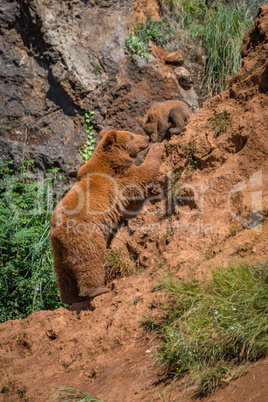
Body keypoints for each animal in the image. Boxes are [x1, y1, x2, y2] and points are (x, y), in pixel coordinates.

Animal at [50, 130, 163, 306]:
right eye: (131, 136)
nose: (147, 138)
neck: (112, 159)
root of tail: (57, 233)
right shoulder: (119, 177)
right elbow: (142, 174)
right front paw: (157, 149)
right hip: (85, 235)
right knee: (90, 259)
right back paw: (98, 289)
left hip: (58, 250)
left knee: (63, 274)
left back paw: (72, 298)